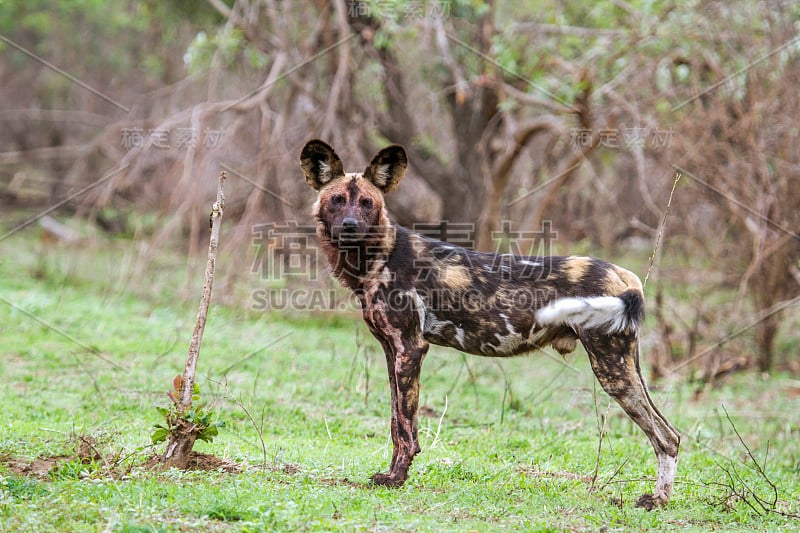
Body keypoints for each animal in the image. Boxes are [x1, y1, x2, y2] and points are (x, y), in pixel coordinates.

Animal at [300, 138, 680, 508]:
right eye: (337, 200)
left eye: (366, 203)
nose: (350, 226)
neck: (379, 257)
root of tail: (625, 275)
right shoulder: (392, 351)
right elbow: (397, 422)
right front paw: (394, 474)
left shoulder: (410, 348)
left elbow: (406, 427)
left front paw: (396, 479)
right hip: (626, 367)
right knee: (671, 434)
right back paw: (660, 497)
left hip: (611, 371)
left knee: (665, 436)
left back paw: (657, 500)